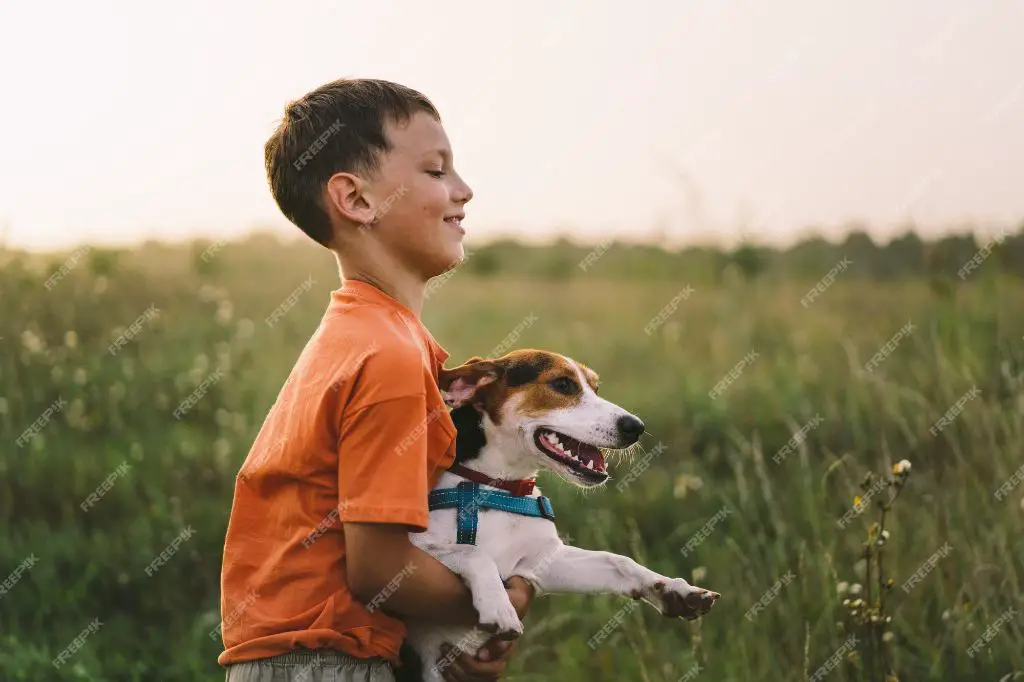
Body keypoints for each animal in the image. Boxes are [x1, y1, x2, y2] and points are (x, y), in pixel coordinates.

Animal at [399, 348, 720, 675]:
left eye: (596, 388)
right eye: (563, 385)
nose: (636, 427)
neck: (497, 487)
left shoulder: (544, 562)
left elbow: (619, 561)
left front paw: (673, 589)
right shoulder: (414, 551)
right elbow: (473, 552)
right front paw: (499, 606)